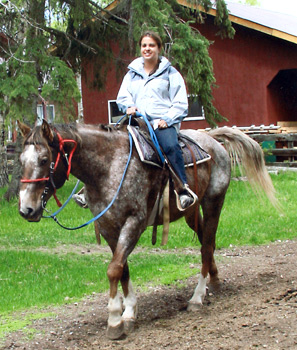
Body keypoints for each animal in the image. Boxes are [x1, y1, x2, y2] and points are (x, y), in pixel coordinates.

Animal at [17, 119, 276, 340]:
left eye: (44, 160)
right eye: (20, 161)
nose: (26, 209)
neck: (109, 167)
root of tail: (211, 139)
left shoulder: (134, 222)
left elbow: (114, 269)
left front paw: (114, 320)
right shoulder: (109, 227)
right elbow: (122, 269)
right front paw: (129, 312)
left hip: (214, 201)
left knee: (206, 247)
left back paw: (197, 297)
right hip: (191, 212)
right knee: (207, 242)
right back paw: (215, 282)